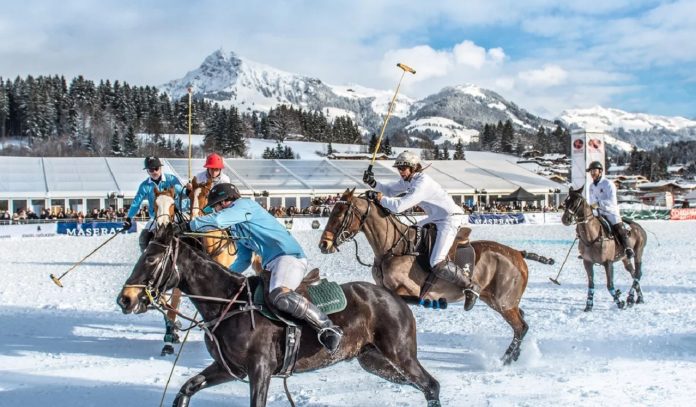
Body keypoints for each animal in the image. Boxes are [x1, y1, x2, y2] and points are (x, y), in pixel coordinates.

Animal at [115, 225, 440, 407]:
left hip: (400, 354)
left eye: (151, 258)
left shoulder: (260, 368)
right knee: (421, 385)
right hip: (373, 360)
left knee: (431, 385)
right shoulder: (227, 368)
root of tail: (397, 297)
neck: (228, 304)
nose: (125, 299)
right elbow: (186, 389)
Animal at [318, 190, 552, 364]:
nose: (324, 244)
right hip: (499, 300)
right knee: (521, 321)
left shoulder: (405, 290)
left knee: (520, 327)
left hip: (503, 302)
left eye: (341, 213)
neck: (393, 247)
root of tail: (518, 254)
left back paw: (505, 359)